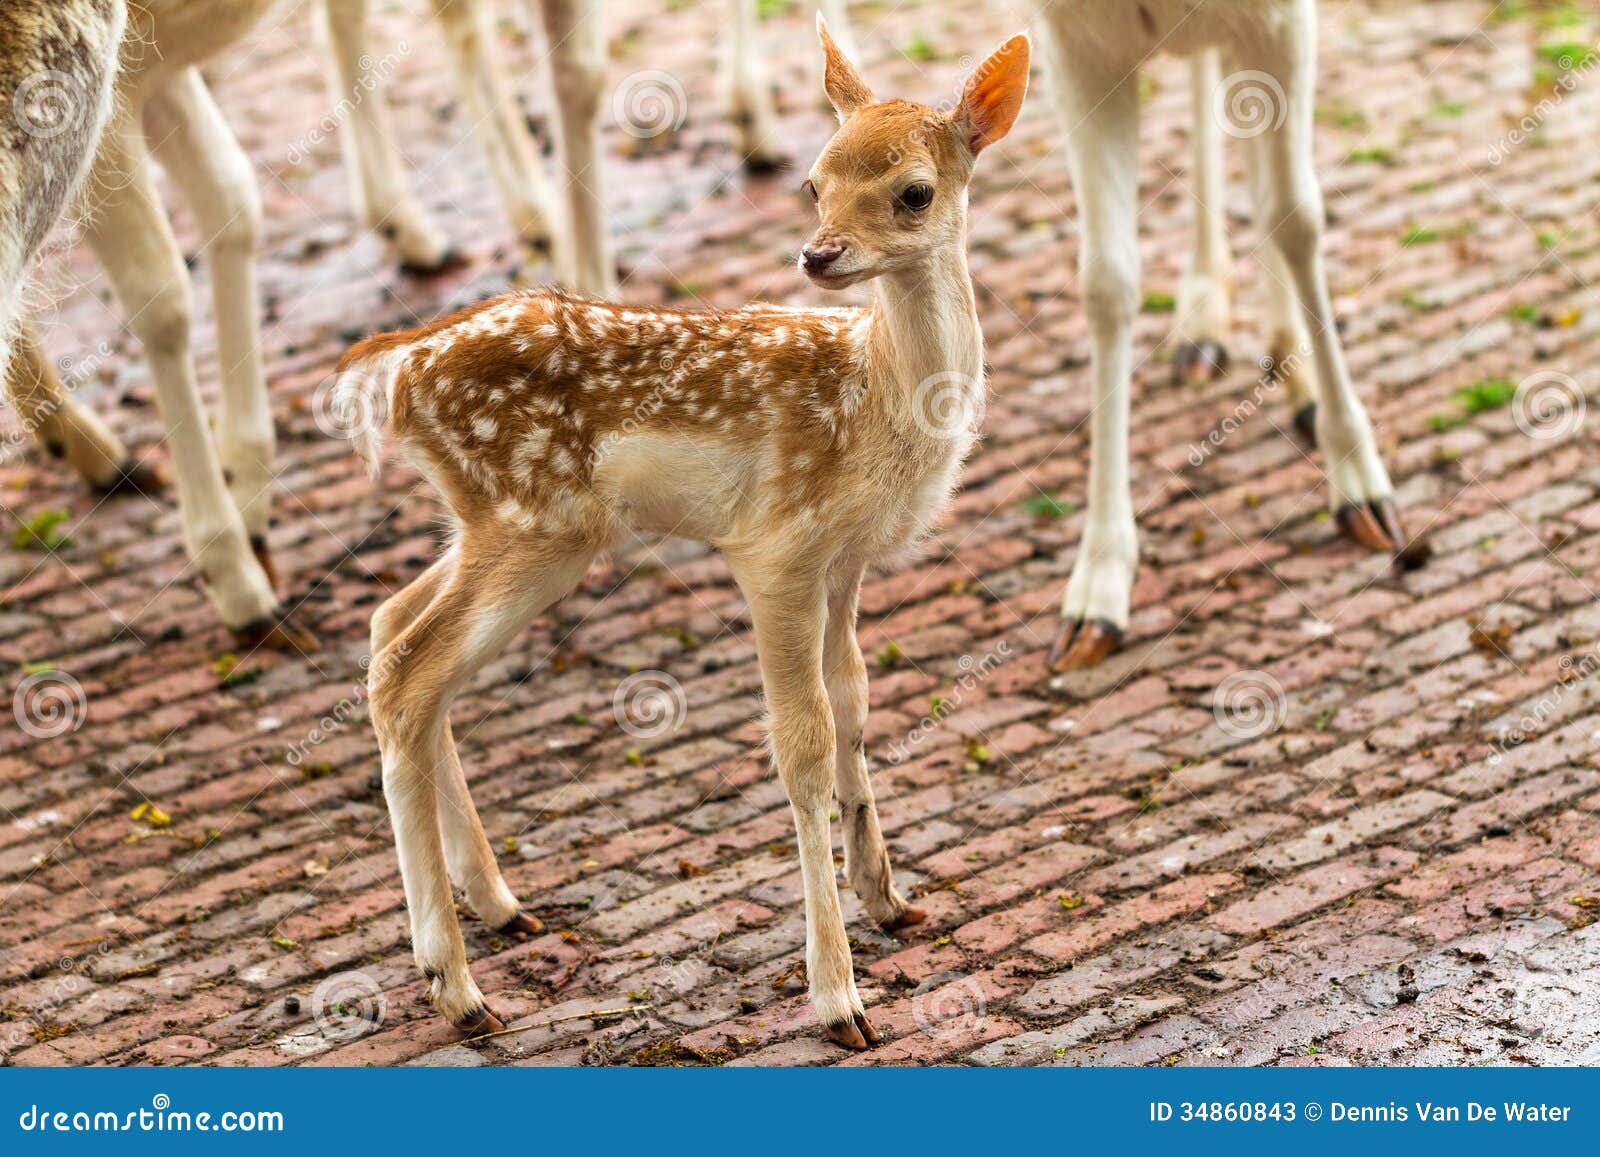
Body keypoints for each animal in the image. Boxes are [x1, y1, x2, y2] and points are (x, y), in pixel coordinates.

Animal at [1034, 0, 1427, 671]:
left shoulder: (1283, 20)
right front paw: (1097, 589)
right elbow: (1106, 281)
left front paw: (1359, 484)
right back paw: (1203, 318)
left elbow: (1294, 216)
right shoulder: (1074, 43)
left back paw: (1295, 378)